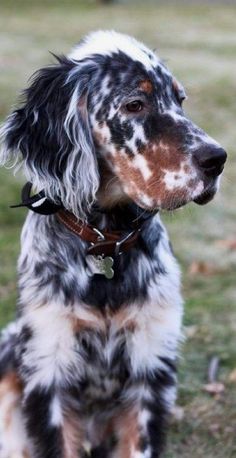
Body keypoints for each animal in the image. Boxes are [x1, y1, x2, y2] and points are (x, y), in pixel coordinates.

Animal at [0, 32, 227, 458]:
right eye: (135, 104)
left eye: (180, 100)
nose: (217, 159)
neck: (106, 242)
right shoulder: (48, 365)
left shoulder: (150, 366)